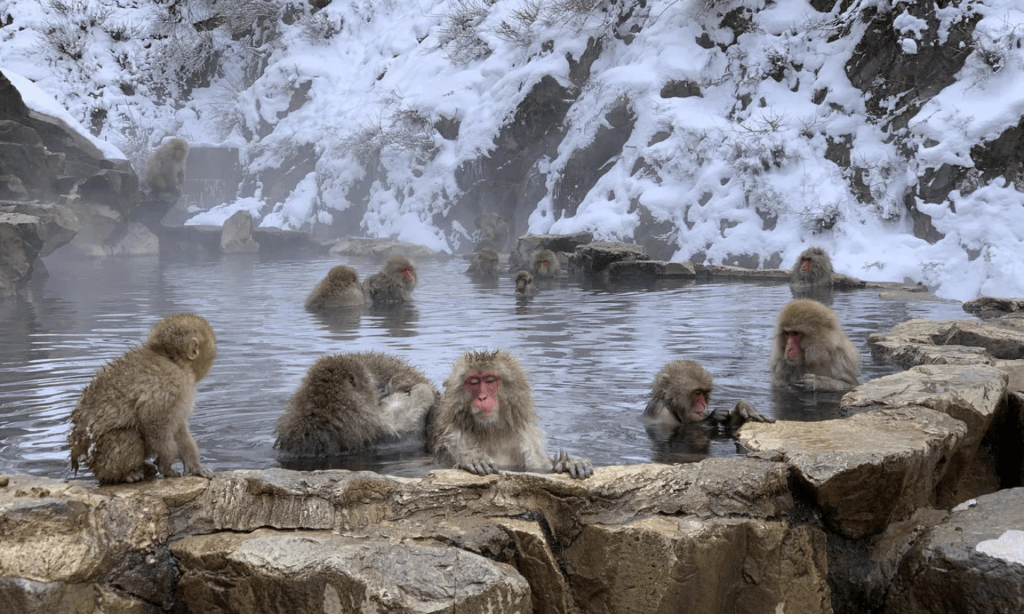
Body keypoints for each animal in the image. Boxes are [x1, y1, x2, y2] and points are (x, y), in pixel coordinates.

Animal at [68, 311, 216, 485]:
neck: (172, 360)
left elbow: (179, 428)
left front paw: (195, 466)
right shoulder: (169, 386)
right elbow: (153, 422)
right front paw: (166, 464)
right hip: (101, 457)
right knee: (129, 436)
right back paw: (124, 475)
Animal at [423, 349, 593, 478]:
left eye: (490, 380)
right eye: (474, 382)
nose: (482, 397)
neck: (491, 432)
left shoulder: (526, 439)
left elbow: (538, 468)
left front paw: (568, 463)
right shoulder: (453, 436)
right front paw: (472, 459)